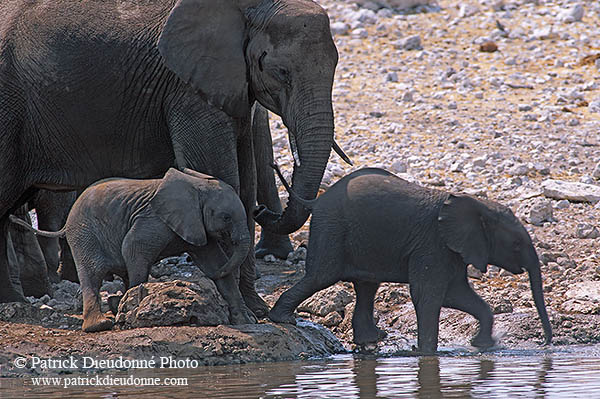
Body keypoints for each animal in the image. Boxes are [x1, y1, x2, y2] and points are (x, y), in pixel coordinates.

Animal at [11, 167, 255, 332]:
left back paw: (114, 304)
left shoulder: (194, 223)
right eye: (226, 217)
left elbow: (215, 262)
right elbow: (134, 250)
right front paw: (134, 311)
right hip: (85, 234)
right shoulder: (154, 220)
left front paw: (246, 320)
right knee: (93, 273)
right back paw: (101, 324)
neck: (197, 187)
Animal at [270, 166, 552, 354]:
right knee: (321, 277)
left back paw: (371, 340)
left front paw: (482, 345)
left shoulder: (452, 249)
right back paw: (282, 320)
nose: (546, 343)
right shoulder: (433, 244)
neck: (477, 205)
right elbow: (428, 294)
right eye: (516, 245)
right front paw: (427, 354)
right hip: (332, 229)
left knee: (367, 286)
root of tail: (317, 199)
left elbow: (456, 294)